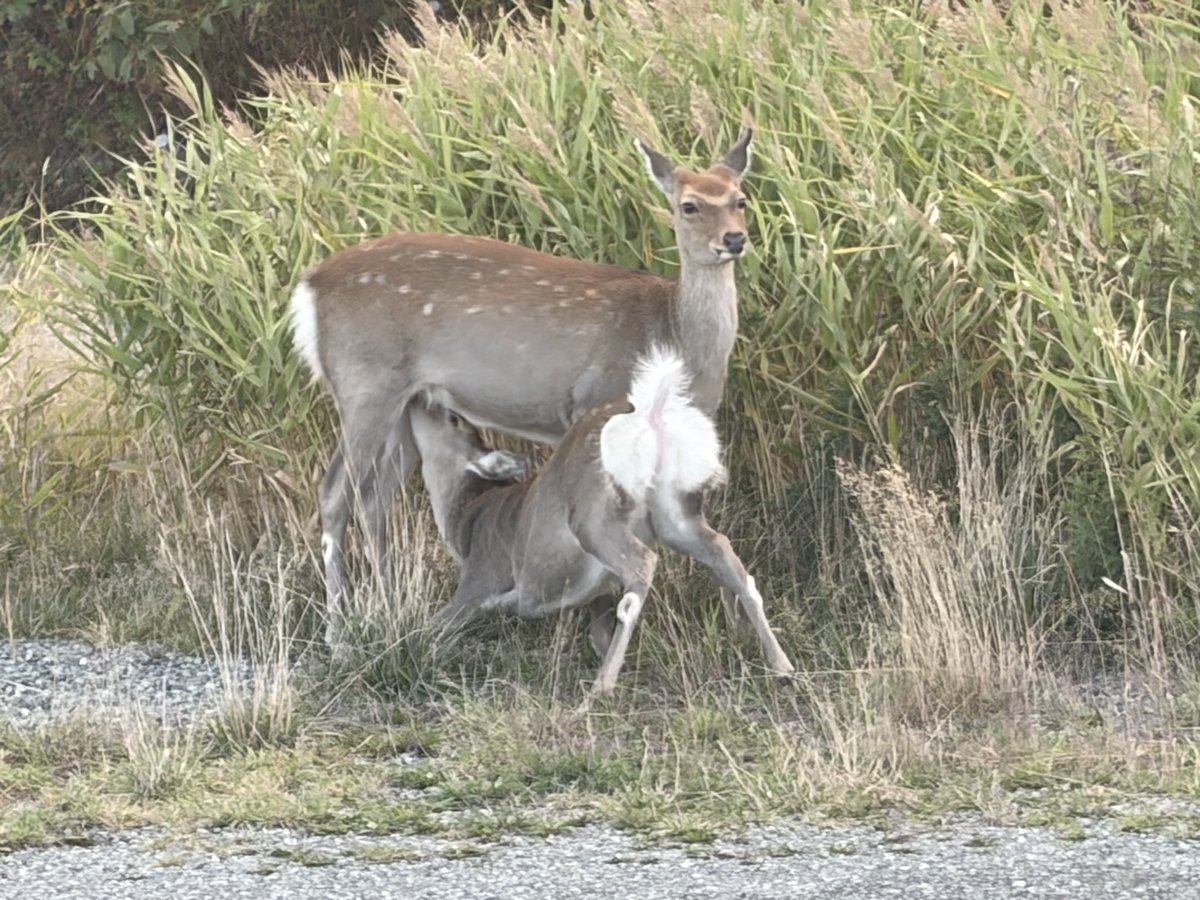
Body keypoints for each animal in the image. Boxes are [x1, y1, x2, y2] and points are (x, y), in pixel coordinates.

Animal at [290, 127, 756, 652]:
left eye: (740, 199)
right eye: (688, 205)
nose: (734, 239)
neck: (670, 331)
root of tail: (307, 289)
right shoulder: (592, 401)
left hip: (408, 402)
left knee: (376, 496)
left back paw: (390, 607)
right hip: (364, 383)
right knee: (334, 493)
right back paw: (337, 634)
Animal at [409, 346, 795, 694]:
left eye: (453, 417)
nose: (416, 400)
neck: (465, 519)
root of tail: (652, 414)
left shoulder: (480, 578)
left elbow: (427, 627)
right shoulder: (596, 596)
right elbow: (598, 631)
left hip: (592, 513)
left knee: (642, 563)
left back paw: (601, 687)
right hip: (674, 511)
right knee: (723, 551)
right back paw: (782, 665)